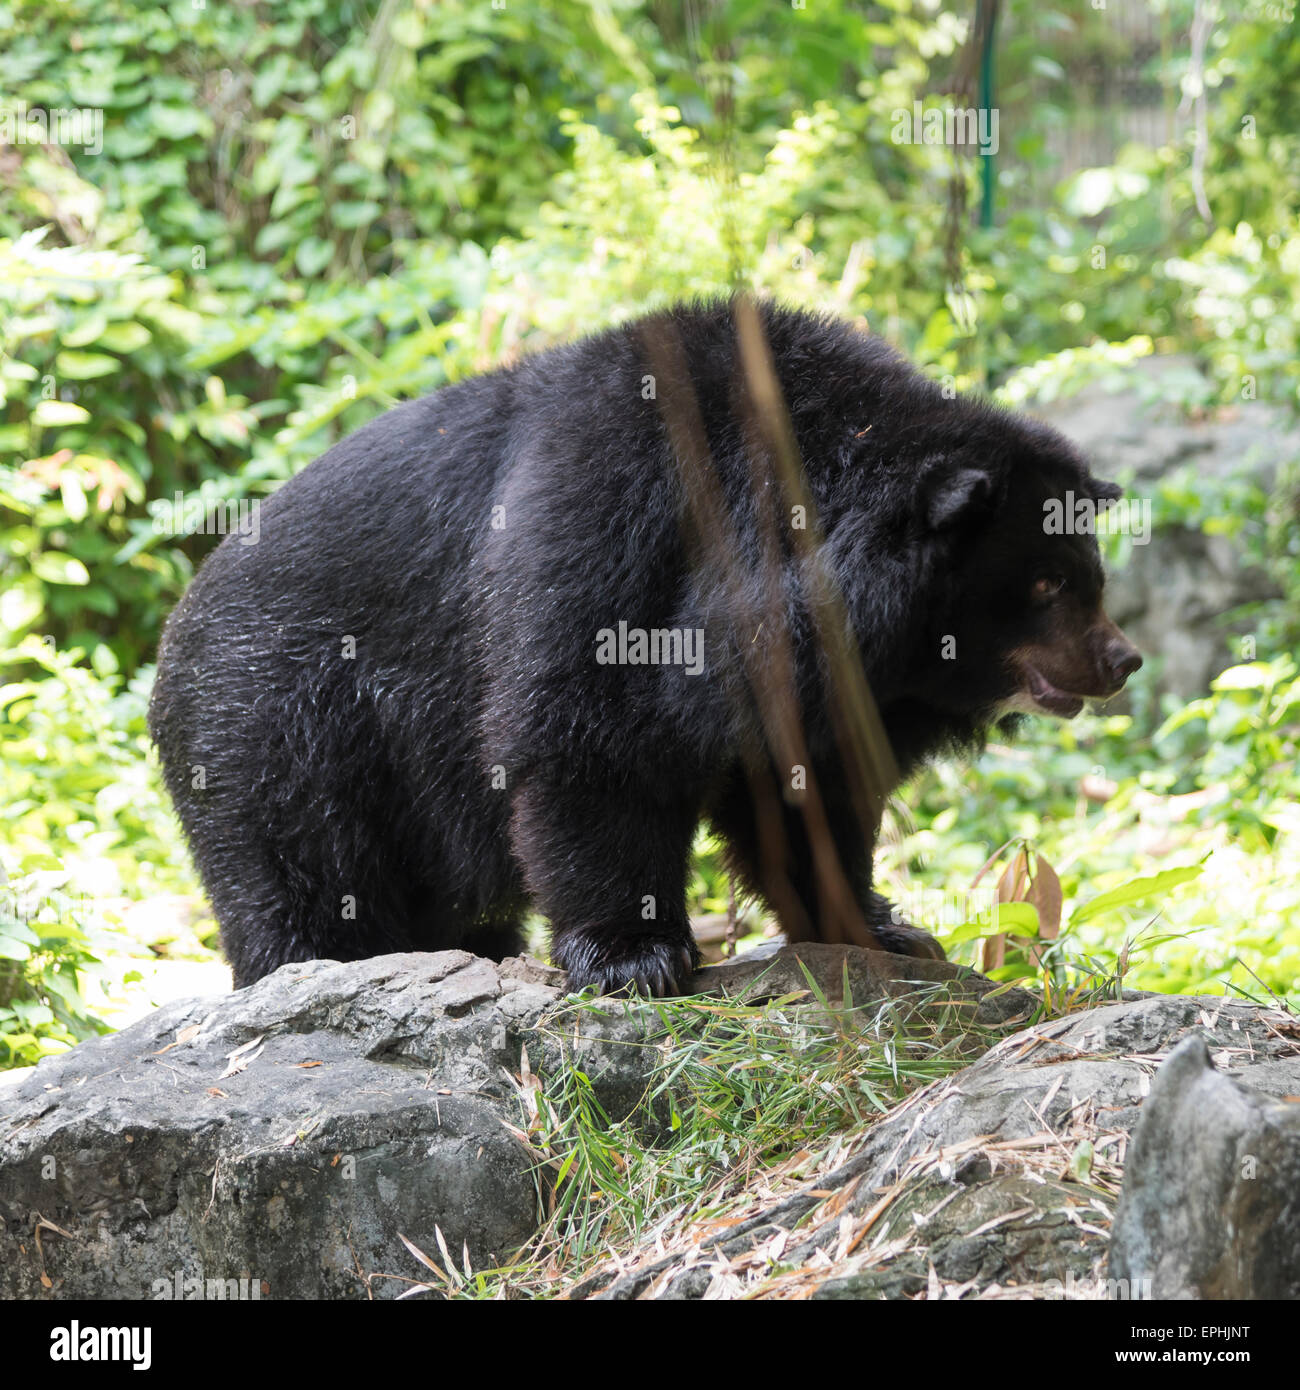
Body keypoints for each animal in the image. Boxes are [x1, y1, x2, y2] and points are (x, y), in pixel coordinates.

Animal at [148, 298, 1141, 996]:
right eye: (1045, 586)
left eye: (1088, 573)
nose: (1121, 661)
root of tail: (175, 632)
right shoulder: (609, 519)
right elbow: (584, 739)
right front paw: (636, 958)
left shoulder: (812, 679)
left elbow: (808, 791)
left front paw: (882, 928)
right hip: (280, 732)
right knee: (302, 877)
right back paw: (309, 966)